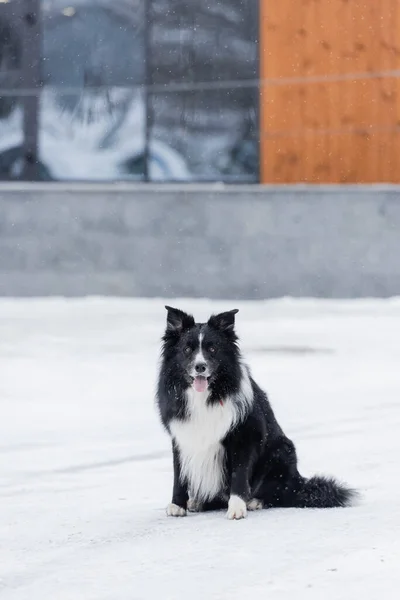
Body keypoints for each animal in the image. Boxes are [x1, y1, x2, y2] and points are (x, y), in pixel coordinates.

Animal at [156, 308, 354, 516]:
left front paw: (237, 508)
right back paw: (199, 502)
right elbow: (179, 474)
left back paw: (255, 502)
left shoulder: (245, 436)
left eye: (212, 349)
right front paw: (178, 505)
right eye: (187, 350)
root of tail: (299, 483)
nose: (200, 366)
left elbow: (239, 474)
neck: (207, 396)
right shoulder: (182, 436)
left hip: (282, 452)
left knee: (279, 494)